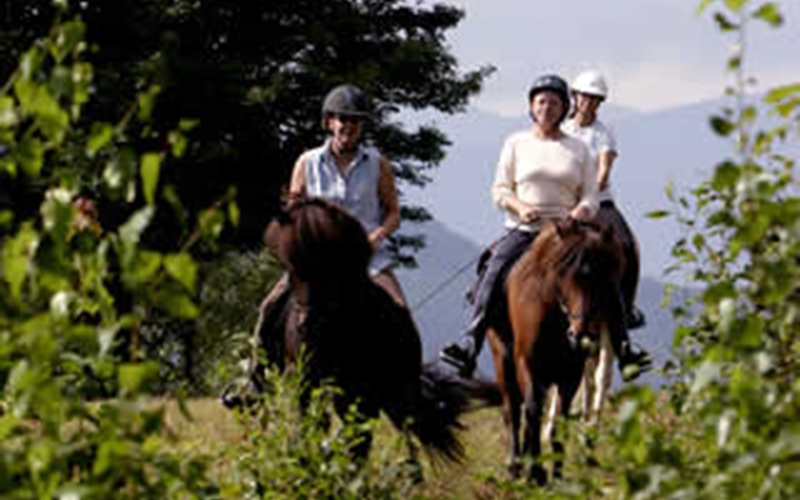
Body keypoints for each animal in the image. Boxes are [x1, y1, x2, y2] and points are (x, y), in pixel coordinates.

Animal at [241, 197, 496, 462]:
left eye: (328, 267)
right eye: (290, 269)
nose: (306, 324)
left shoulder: (363, 391)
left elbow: (356, 436)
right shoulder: (308, 381)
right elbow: (313, 424)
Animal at [484, 219, 628, 484]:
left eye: (604, 278)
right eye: (564, 274)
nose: (581, 334)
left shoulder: (570, 374)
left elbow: (560, 418)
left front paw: (557, 475)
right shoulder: (527, 363)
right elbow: (532, 411)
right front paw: (536, 471)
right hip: (503, 358)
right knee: (512, 410)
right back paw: (515, 465)